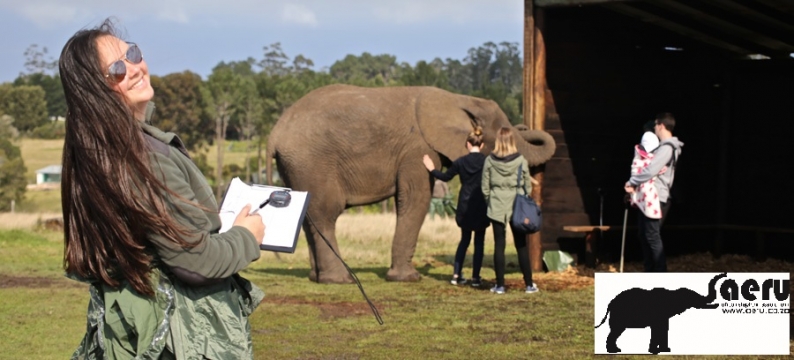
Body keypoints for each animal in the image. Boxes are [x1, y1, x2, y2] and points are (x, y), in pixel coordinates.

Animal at [262, 84, 552, 284]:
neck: (458, 99)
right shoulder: (417, 149)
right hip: (312, 162)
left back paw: (317, 278)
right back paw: (340, 280)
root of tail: (274, 134)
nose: (523, 126)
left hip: (296, 166)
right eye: (504, 132)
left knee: (308, 215)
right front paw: (408, 279)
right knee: (326, 213)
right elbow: (416, 198)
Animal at [592, 272, 724, 354]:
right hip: (619, 316)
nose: (725, 274)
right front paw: (655, 352)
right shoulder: (658, 314)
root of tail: (610, 303)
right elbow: (657, 329)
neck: (672, 293)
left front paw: (666, 350)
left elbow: (664, 328)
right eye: (692, 298)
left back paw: (616, 350)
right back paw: (613, 351)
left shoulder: (664, 316)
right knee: (615, 332)